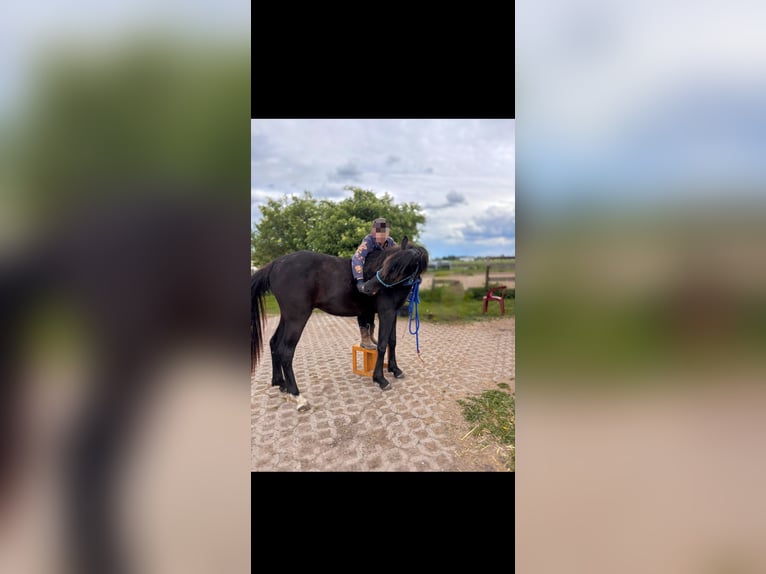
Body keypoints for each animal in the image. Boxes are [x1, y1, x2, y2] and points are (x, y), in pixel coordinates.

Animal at [250, 236, 429, 411]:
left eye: (398, 269)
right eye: (388, 265)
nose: (367, 287)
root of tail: (275, 264)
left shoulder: (393, 313)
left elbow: (392, 342)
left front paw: (395, 369)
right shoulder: (386, 313)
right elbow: (382, 345)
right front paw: (380, 379)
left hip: (287, 318)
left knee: (274, 343)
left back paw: (281, 384)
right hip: (297, 319)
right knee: (286, 352)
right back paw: (298, 396)